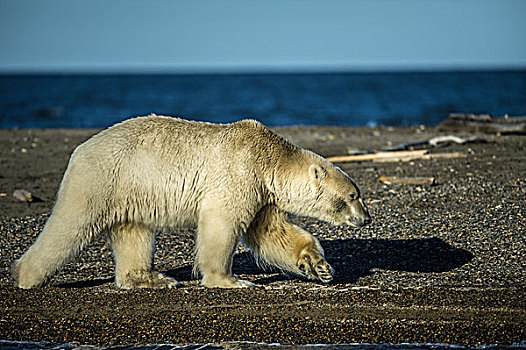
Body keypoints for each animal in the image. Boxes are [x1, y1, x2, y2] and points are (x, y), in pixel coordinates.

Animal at [9, 114, 372, 288]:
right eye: (352, 196)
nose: (366, 218)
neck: (268, 158)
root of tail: (80, 150)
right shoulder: (240, 173)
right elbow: (222, 223)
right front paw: (229, 280)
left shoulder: (262, 192)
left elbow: (272, 233)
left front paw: (320, 266)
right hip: (102, 179)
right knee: (70, 224)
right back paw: (26, 276)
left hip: (132, 190)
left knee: (134, 232)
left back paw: (150, 280)